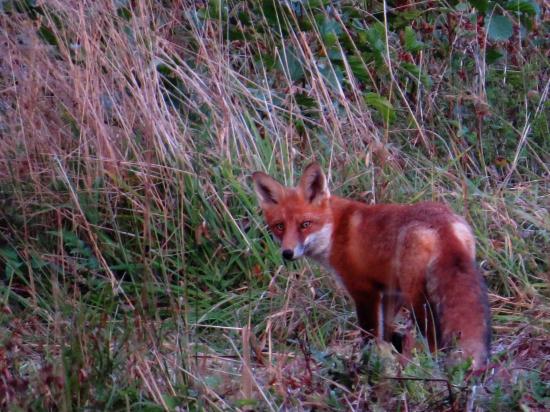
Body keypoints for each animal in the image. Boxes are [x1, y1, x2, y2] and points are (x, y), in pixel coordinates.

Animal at [254, 163, 492, 368]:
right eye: (279, 226)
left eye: (305, 224)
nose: (287, 253)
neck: (335, 230)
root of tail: (443, 225)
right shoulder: (389, 292)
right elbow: (385, 333)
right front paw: (386, 361)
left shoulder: (364, 291)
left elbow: (368, 336)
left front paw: (368, 365)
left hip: (416, 298)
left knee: (433, 338)